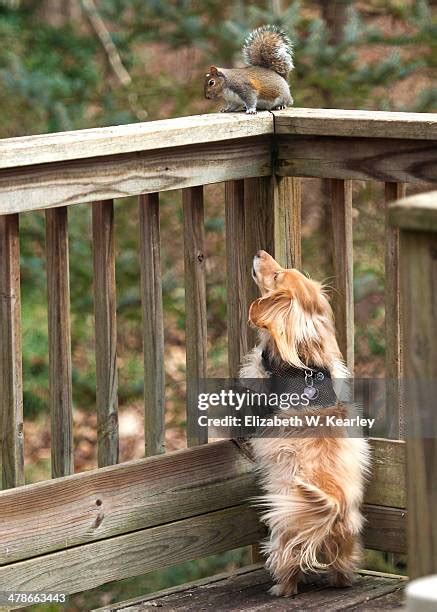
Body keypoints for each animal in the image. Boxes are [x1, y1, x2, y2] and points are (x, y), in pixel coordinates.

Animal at [240, 250, 370, 596]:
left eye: (276, 276)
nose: (259, 252)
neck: (306, 363)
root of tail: (334, 500)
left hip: (284, 526)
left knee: (289, 562)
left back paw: (280, 587)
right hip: (348, 537)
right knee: (342, 566)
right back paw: (342, 581)